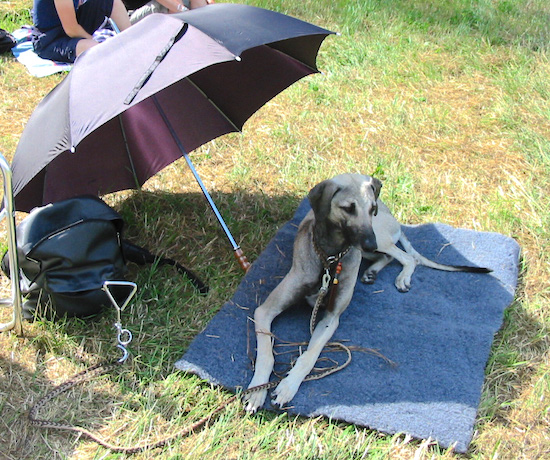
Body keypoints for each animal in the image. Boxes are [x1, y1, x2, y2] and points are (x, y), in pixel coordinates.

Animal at [244, 172, 382, 414]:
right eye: (348, 208)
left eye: (372, 208)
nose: (370, 244)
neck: (329, 259)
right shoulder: (264, 311)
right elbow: (266, 353)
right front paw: (258, 388)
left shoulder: (331, 318)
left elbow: (310, 354)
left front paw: (288, 385)